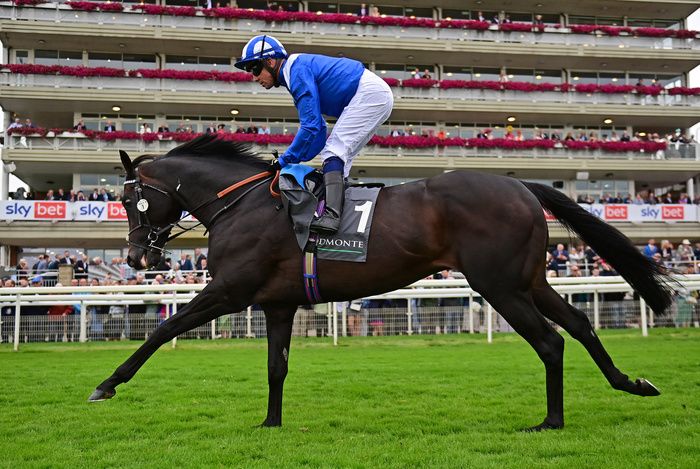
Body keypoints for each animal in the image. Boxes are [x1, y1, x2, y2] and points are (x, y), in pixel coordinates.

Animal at [89, 133, 672, 430]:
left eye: (128, 199)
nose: (137, 255)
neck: (242, 203)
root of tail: (524, 187)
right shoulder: (278, 303)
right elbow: (276, 367)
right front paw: (271, 424)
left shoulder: (230, 290)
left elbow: (163, 331)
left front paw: (107, 383)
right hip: (531, 281)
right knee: (579, 324)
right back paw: (631, 383)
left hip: (501, 287)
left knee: (551, 342)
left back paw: (551, 422)